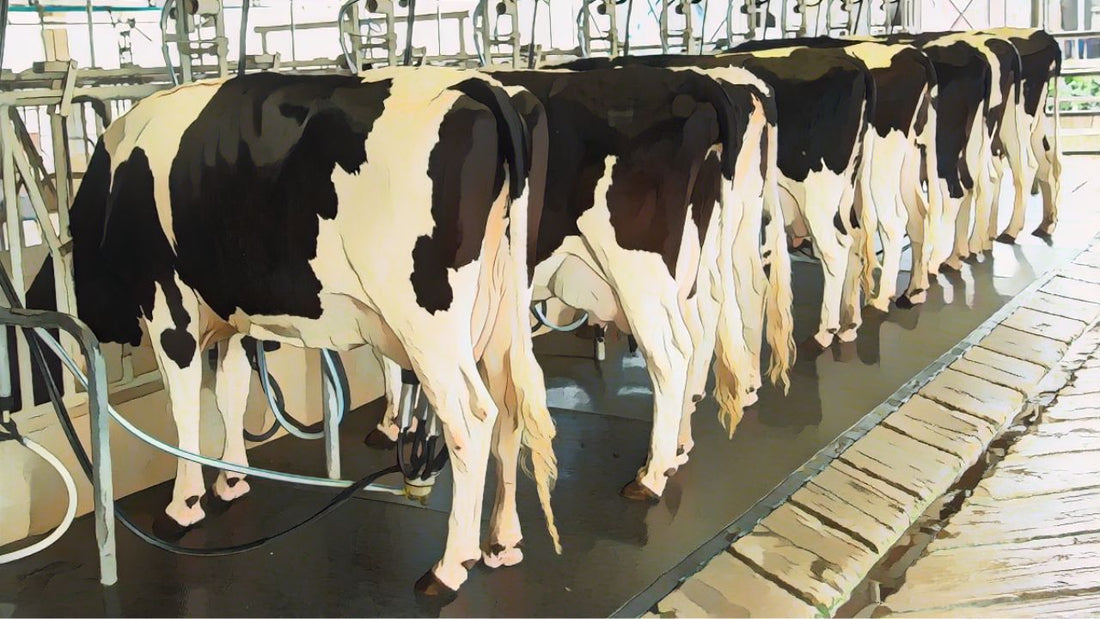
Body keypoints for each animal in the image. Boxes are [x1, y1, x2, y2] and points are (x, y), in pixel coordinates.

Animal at [60, 67, 558, 593]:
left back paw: (450, 565)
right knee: (510, 406)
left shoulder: (167, 304)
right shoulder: (233, 314)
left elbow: (185, 407)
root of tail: (480, 85)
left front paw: (183, 505)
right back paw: (501, 542)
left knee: (474, 419)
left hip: (428, 325)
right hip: (503, 308)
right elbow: (231, 392)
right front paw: (232, 478)